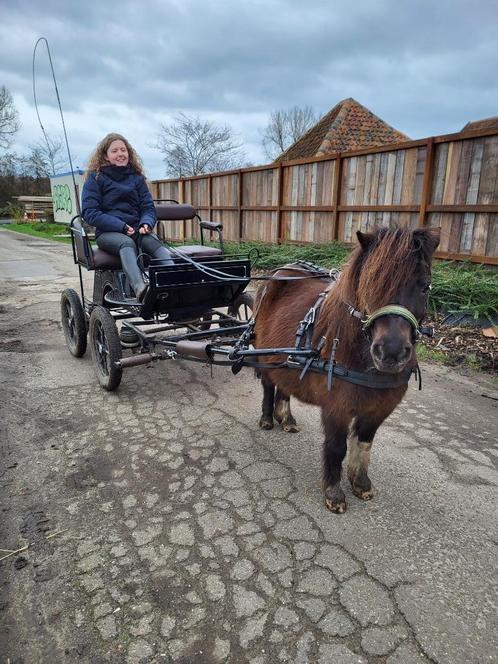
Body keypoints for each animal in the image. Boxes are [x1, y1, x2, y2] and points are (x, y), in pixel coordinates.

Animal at [253, 226, 440, 510]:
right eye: (370, 284)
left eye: (425, 286)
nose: (391, 352)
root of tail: (277, 274)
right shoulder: (336, 407)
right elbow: (336, 447)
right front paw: (333, 492)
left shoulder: (380, 408)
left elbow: (364, 443)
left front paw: (361, 483)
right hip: (264, 356)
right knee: (267, 384)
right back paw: (266, 418)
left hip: (287, 356)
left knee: (284, 384)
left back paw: (286, 418)